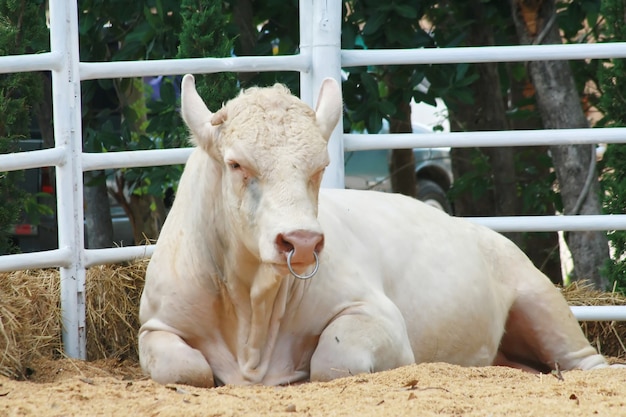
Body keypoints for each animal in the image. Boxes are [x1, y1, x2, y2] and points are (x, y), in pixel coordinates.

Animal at [138, 74, 608, 386]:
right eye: (236, 164)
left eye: (320, 167)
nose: (302, 242)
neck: (251, 315)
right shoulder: (155, 326)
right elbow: (185, 368)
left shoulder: (379, 317)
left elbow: (334, 358)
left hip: (540, 298)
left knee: (585, 360)